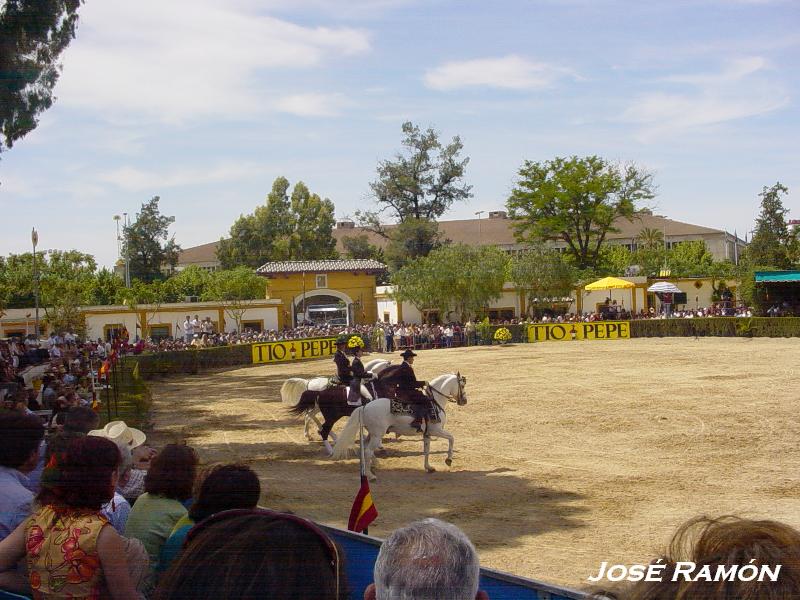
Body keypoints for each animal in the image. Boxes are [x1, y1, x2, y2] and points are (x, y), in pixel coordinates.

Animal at [332, 372, 468, 480]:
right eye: (462, 385)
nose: (464, 401)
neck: (434, 402)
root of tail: (364, 407)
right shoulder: (437, 431)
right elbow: (451, 438)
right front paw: (449, 460)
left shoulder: (427, 434)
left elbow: (427, 451)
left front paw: (429, 467)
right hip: (377, 435)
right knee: (368, 451)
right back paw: (371, 476)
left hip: (371, 434)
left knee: (364, 449)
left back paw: (370, 467)